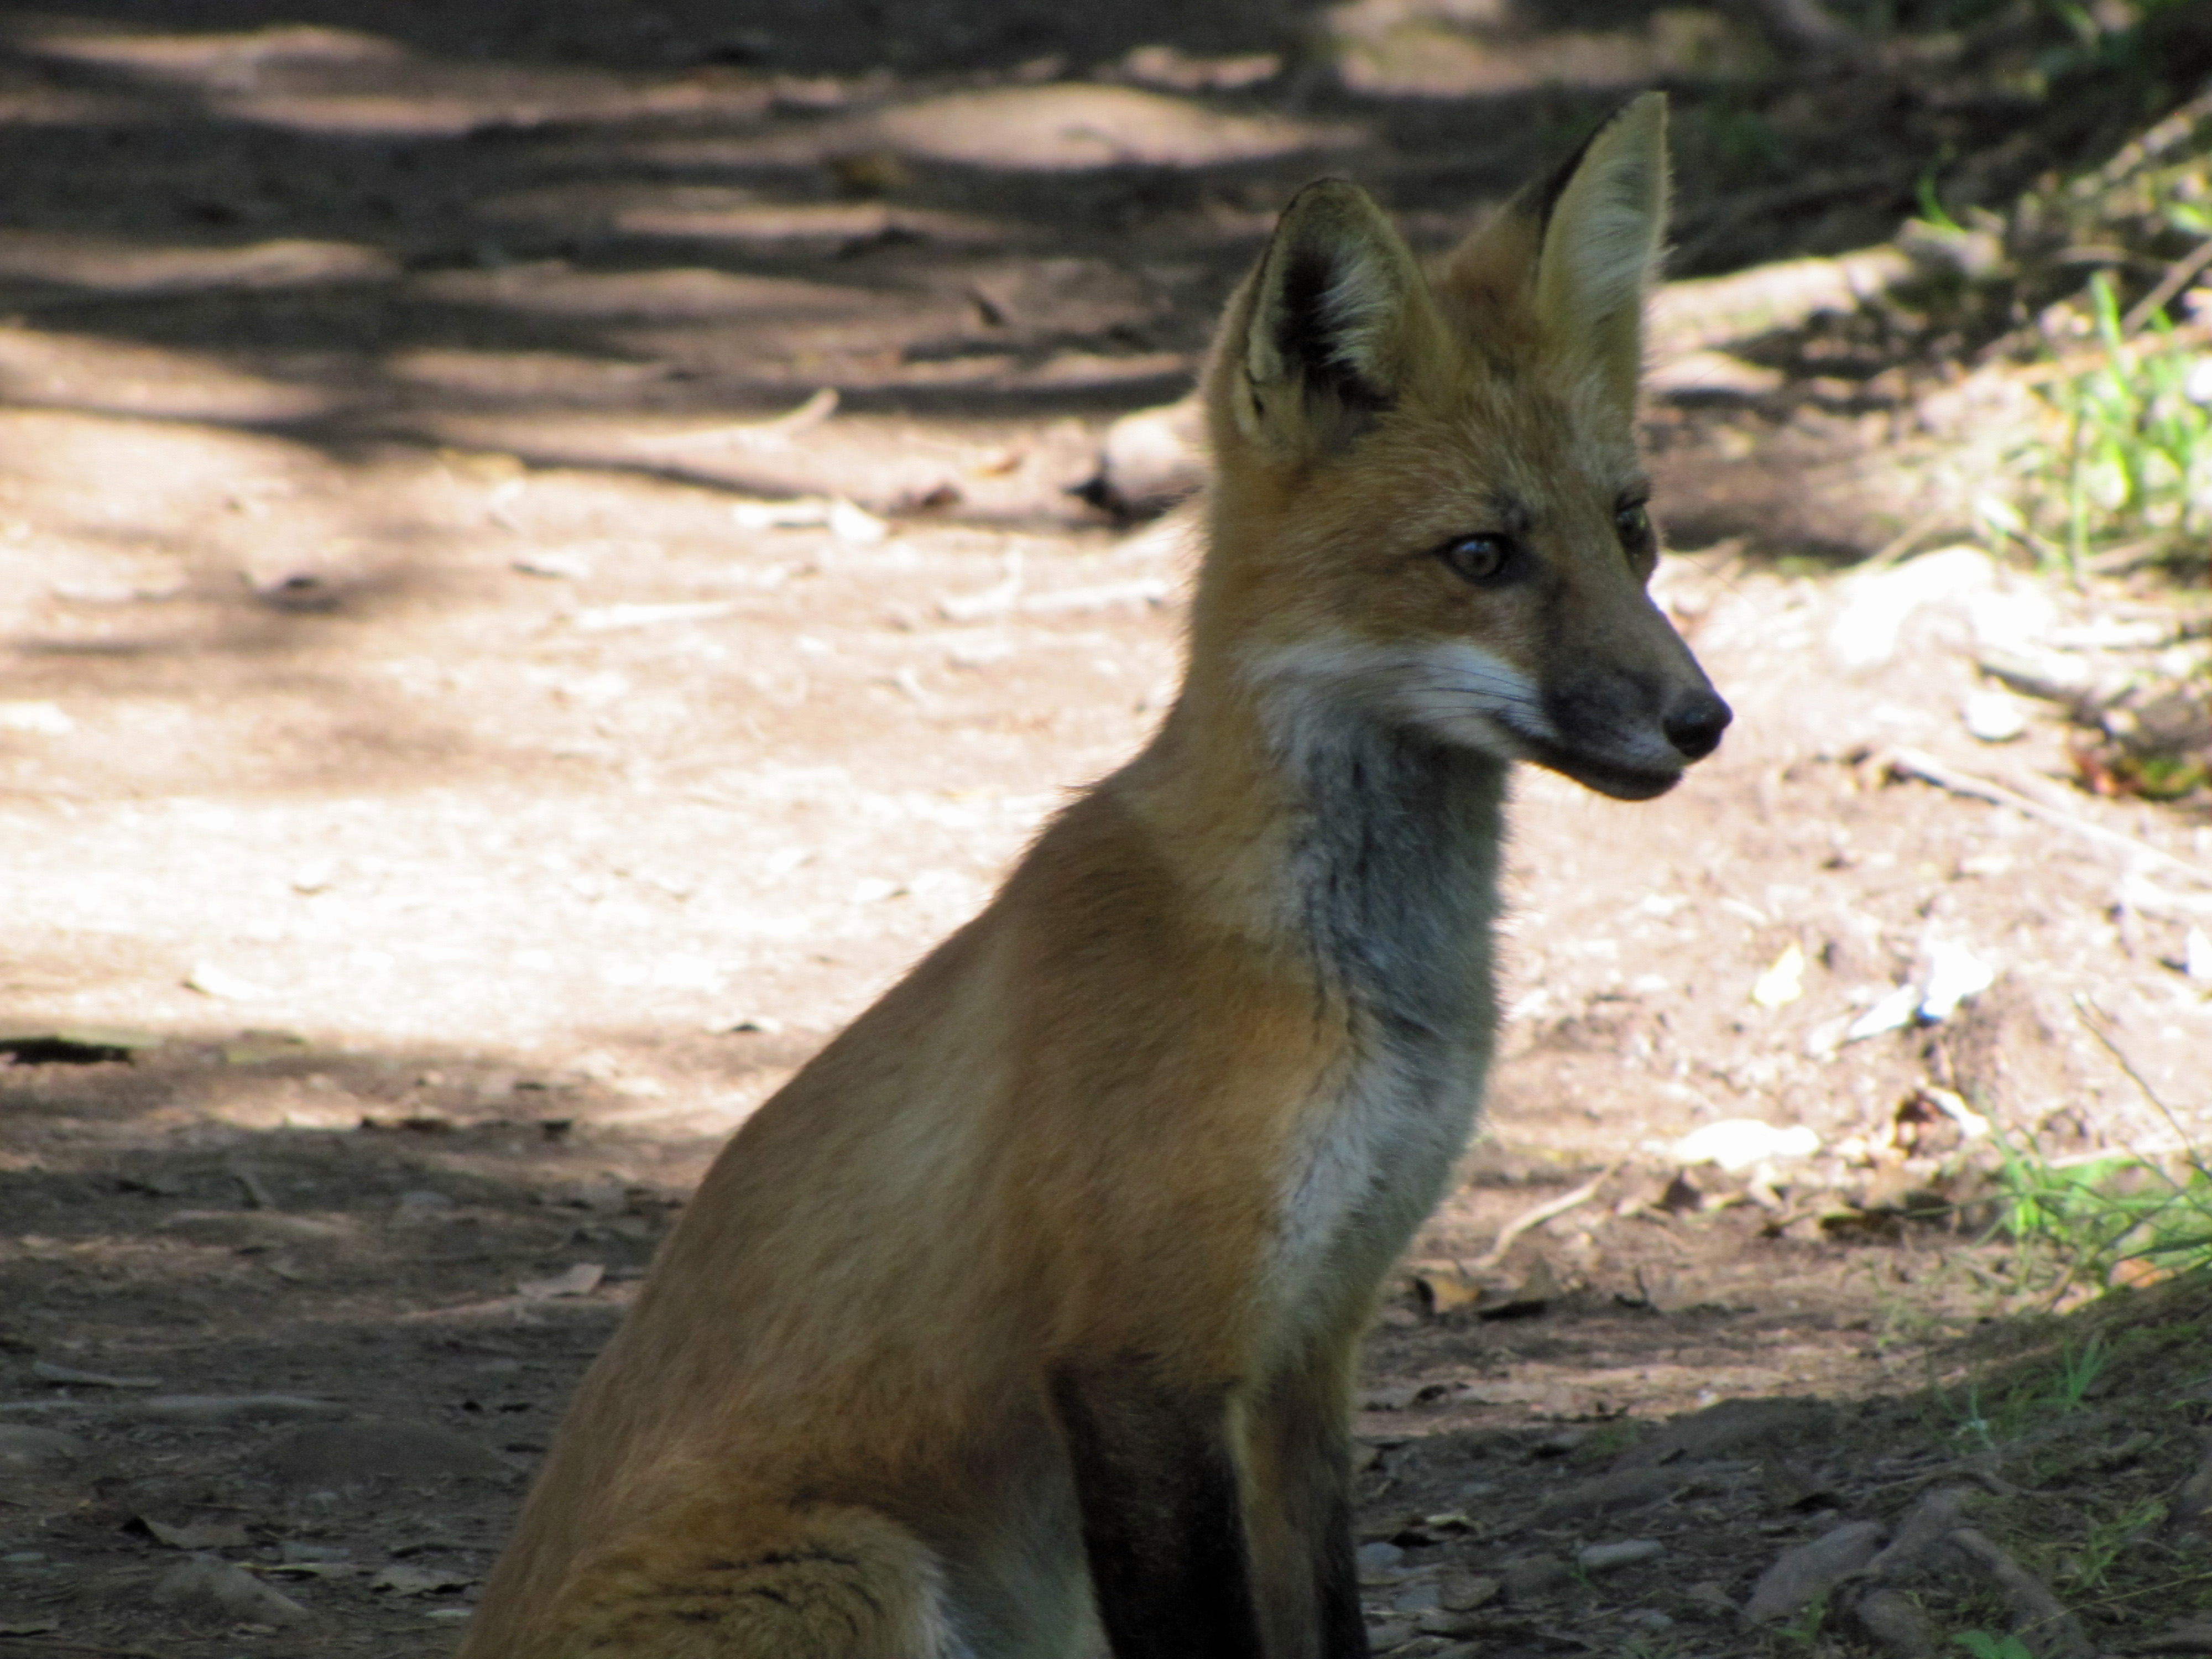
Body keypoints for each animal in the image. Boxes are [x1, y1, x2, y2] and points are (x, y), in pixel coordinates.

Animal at [458, 90, 1728, 1659]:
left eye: (1632, 526)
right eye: (1481, 553)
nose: (1701, 719)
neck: (1355, 985)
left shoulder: (1311, 1342)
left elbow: (1329, 1620)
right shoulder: (1144, 1355)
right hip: (859, 1566)